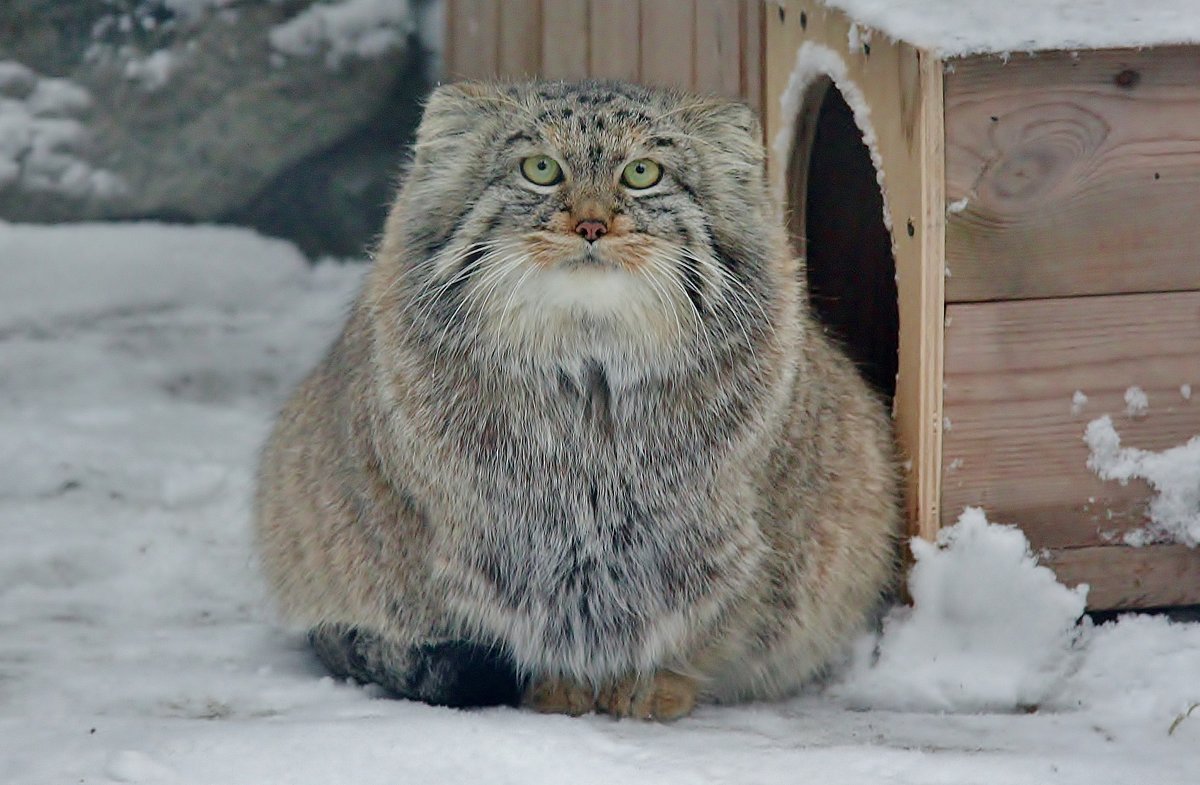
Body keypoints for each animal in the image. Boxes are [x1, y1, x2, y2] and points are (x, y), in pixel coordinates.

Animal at [255, 81, 902, 724]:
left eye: (642, 173)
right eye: (540, 169)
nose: (592, 226)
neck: (593, 381)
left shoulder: (724, 538)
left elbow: (704, 620)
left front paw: (651, 686)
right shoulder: (483, 545)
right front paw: (558, 688)